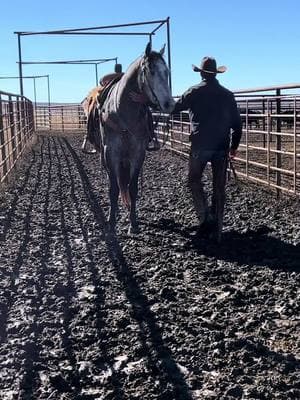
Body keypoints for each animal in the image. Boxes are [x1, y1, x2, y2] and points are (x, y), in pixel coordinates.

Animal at [97, 42, 175, 233]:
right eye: (151, 71)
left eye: (167, 71)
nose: (169, 104)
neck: (122, 113)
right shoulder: (111, 153)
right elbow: (113, 189)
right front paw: (111, 222)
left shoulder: (138, 154)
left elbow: (132, 188)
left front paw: (133, 223)